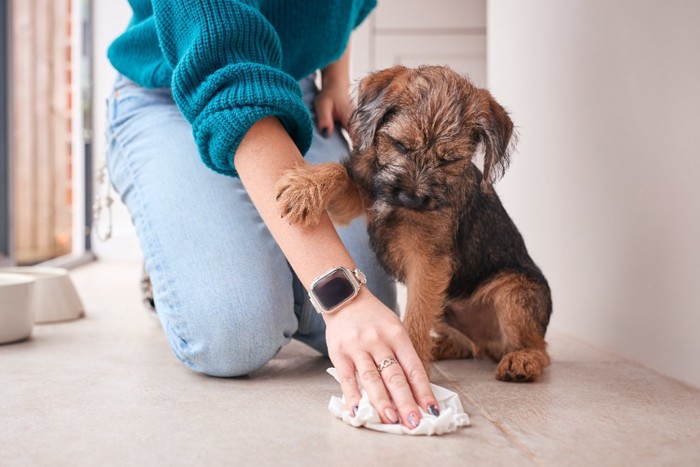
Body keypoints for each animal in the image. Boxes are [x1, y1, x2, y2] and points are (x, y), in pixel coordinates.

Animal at [274, 66, 552, 382]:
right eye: (400, 145)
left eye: (449, 160)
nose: (412, 197)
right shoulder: (359, 198)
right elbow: (341, 172)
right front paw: (305, 187)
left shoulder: (428, 262)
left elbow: (417, 315)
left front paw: (414, 361)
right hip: (447, 304)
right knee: (467, 345)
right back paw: (440, 347)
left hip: (512, 294)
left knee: (539, 348)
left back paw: (521, 361)